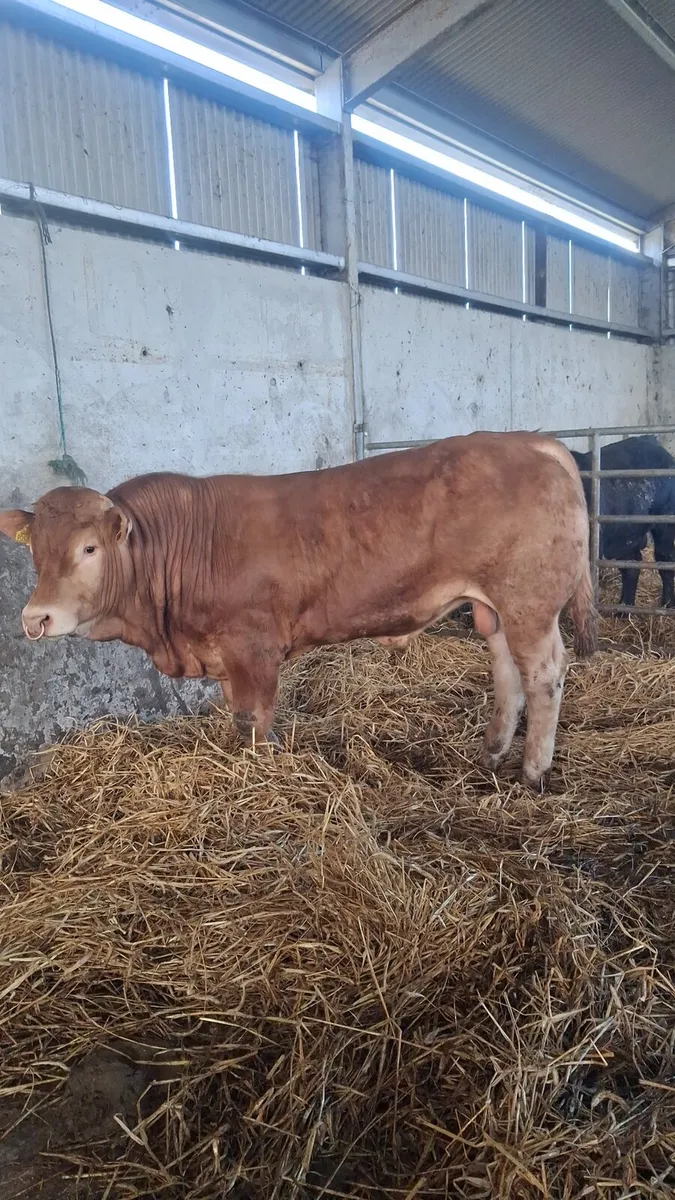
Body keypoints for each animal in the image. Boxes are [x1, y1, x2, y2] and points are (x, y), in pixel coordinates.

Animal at [0, 431, 596, 789]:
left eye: (89, 549)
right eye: (34, 551)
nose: (35, 619)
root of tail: (532, 440)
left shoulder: (254, 648)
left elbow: (253, 722)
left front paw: (258, 775)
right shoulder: (223, 654)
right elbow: (234, 715)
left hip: (529, 603)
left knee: (545, 674)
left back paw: (532, 772)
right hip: (494, 606)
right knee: (507, 672)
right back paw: (491, 754)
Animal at [569, 435, 675, 610]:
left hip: (665, 523)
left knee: (665, 559)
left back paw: (667, 605)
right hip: (625, 533)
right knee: (632, 564)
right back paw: (623, 609)